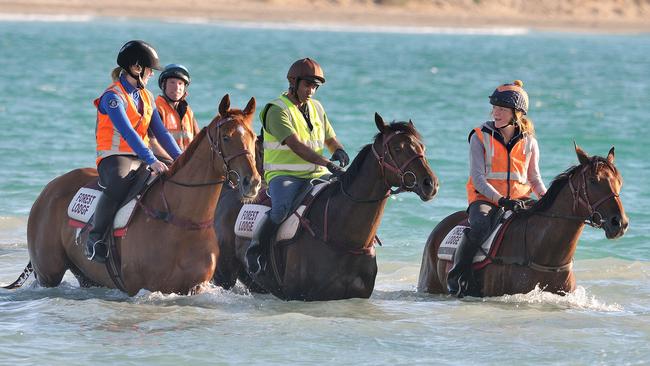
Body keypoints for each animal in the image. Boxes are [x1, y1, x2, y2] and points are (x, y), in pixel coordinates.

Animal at [3, 94, 260, 294]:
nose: (253, 182)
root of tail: (49, 189)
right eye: (226, 137)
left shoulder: (194, 287)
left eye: (253, 136)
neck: (183, 220)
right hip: (48, 275)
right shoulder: (144, 288)